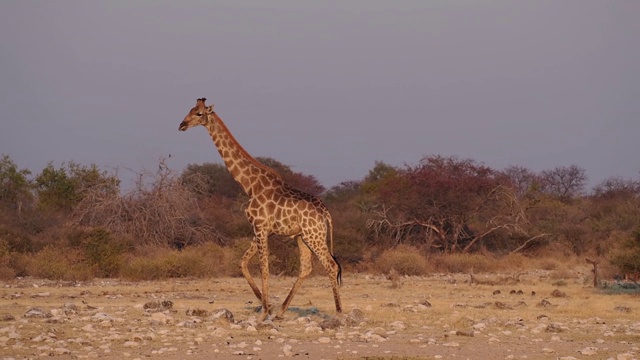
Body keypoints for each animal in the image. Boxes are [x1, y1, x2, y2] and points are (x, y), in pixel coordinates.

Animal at [178, 97, 342, 320]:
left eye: (199, 114)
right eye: (190, 110)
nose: (182, 125)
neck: (249, 184)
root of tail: (326, 213)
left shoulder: (260, 227)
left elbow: (264, 268)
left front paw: (264, 312)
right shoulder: (261, 229)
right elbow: (243, 263)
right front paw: (266, 305)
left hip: (314, 236)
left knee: (331, 265)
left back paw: (339, 312)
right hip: (303, 237)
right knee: (307, 268)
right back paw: (281, 310)